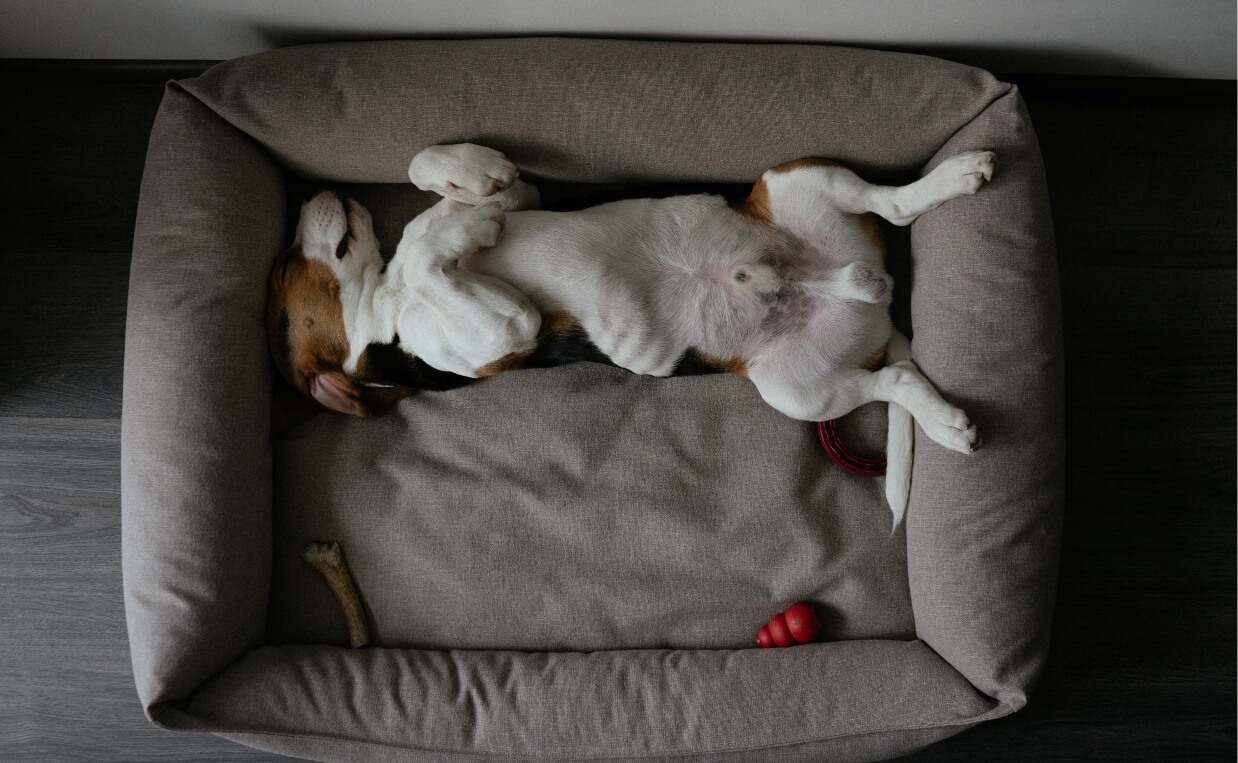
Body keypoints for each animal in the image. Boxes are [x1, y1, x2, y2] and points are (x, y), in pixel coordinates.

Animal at [266, 143, 990, 522]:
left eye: (278, 271)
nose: (311, 195)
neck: (385, 304)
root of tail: (862, 293)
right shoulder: (512, 327)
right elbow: (430, 254)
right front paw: (460, 225)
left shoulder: (523, 201)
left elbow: (432, 181)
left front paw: (469, 180)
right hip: (799, 389)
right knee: (893, 378)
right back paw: (945, 420)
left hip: (801, 182)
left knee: (894, 205)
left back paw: (955, 177)